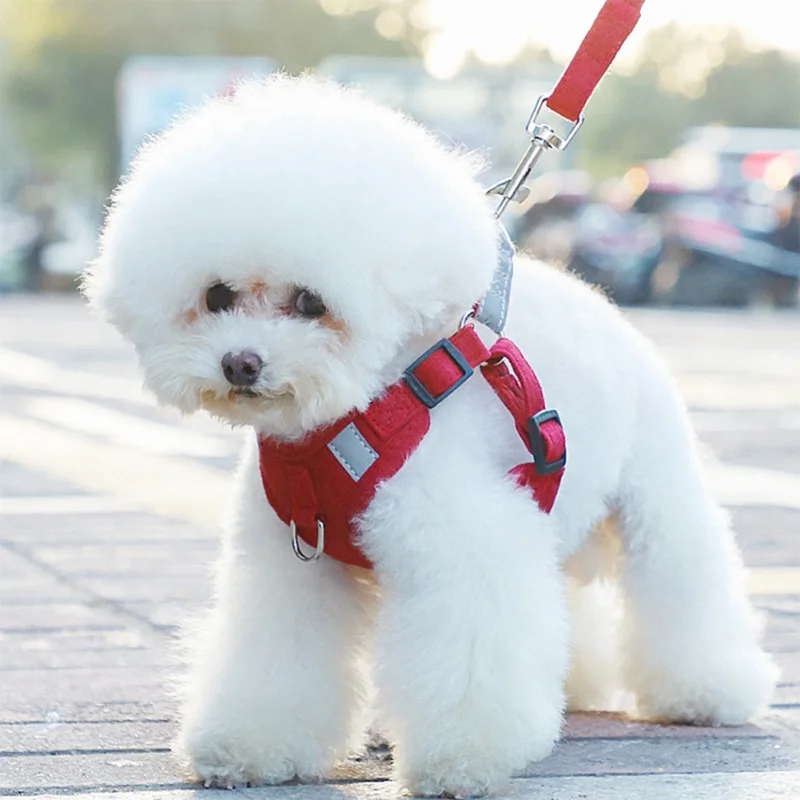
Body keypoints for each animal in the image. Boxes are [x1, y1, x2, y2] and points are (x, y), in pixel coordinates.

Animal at [84, 73, 780, 792]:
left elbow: (468, 657)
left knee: (680, 578)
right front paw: (248, 747)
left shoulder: (464, 547)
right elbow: (277, 653)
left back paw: (708, 691)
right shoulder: (291, 564)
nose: (241, 363)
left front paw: (461, 761)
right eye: (217, 296)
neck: (352, 414)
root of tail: (607, 309)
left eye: (310, 302)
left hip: (655, 498)